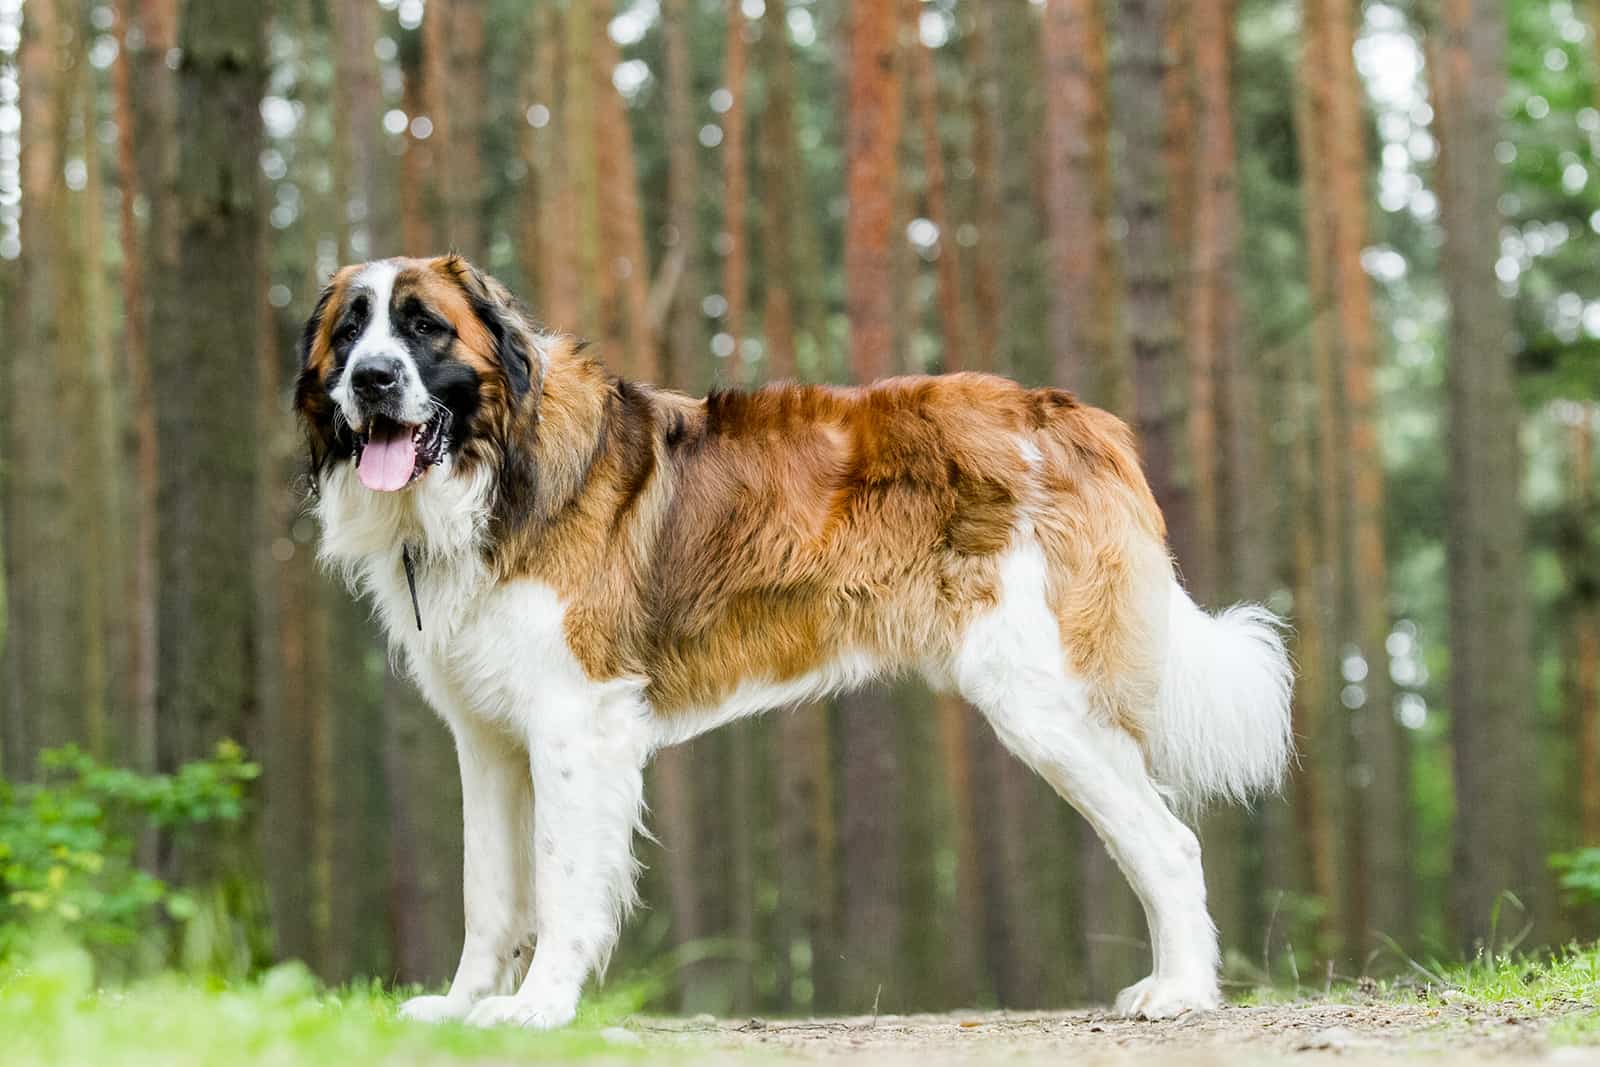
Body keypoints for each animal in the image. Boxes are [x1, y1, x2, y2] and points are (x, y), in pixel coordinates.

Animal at [297, 254, 1299, 1030]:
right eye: (350, 334)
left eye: (425, 329)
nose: (373, 379)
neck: (497, 468)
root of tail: (1071, 416)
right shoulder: (488, 737)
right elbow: (490, 888)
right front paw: (463, 1007)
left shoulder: (576, 718)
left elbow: (560, 874)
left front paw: (539, 1006)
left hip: (1044, 699)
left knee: (1168, 843)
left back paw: (1178, 991)